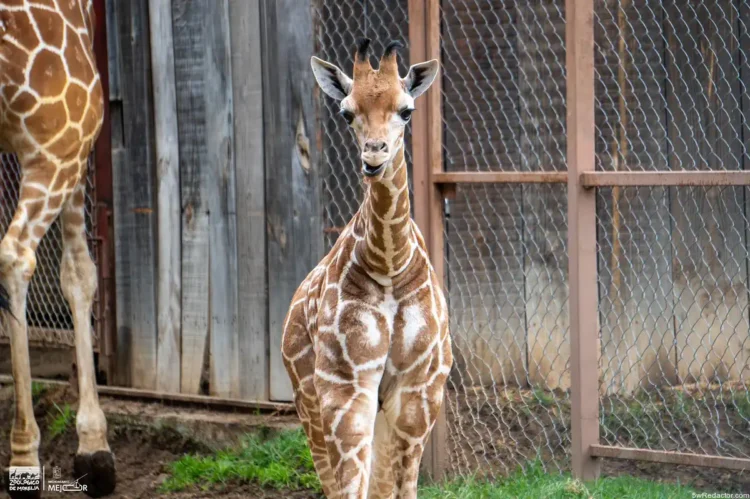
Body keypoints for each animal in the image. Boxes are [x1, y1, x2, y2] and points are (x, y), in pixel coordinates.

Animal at [282, 39, 453, 499]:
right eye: (346, 112)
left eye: (406, 110)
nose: (374, 158)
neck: (390, 263)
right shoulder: (345, 384)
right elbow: (350, 488)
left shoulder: (419, 388)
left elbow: (401, 487)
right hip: (308, 398)